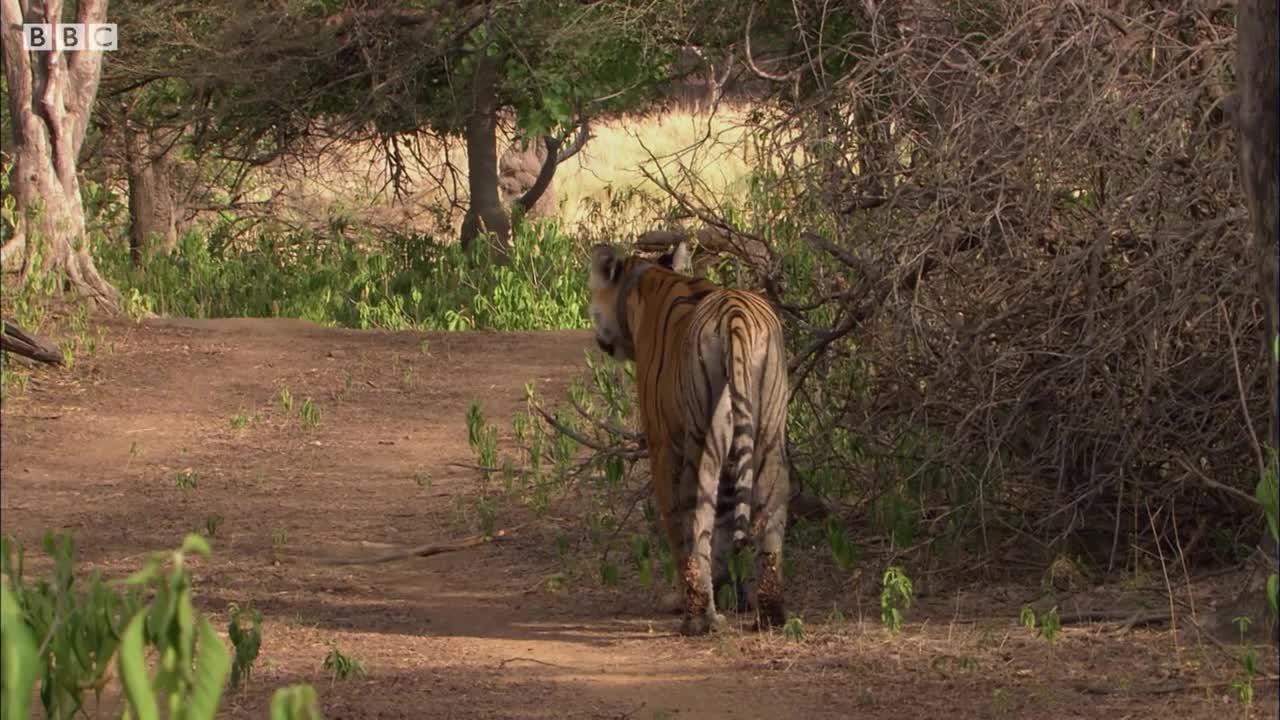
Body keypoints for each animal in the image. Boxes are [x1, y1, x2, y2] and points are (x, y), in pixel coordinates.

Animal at [588, 238, 788, 630]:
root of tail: (735, 315)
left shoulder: (662, 442)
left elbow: (677, 524)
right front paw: (731, 592)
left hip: (700, 439)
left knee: (698, 518)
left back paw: (698, 618)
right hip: (771, 435)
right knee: (767, 519)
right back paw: (770, 614)